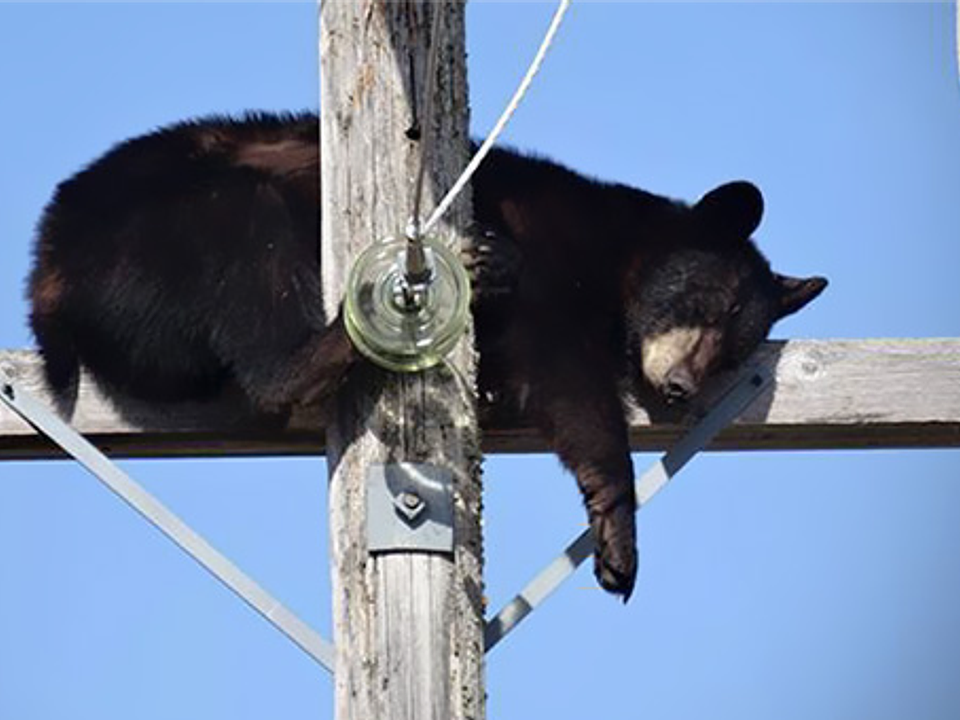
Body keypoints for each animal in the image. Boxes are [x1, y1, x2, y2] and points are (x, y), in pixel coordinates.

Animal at [28, 111, 827, 600]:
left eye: (736, 347)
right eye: (706, 304)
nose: (684, 385)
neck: (609, 256)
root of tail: (46, 273)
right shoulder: (552, 268)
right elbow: (571, 387)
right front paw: (617, 533)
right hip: (159, 235)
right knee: (246, 238)